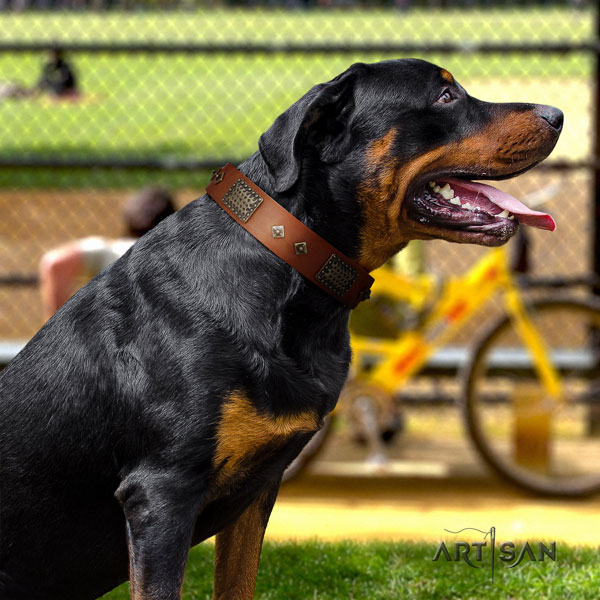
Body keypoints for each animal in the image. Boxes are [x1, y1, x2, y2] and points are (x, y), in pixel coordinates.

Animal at [0, 59, 564, 600]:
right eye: (446, 95)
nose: (557, 114)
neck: (291, 261)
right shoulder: (161, 491)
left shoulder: (256, 491)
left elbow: (238, 586)